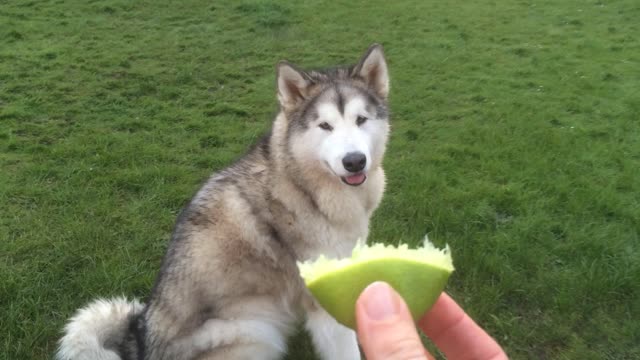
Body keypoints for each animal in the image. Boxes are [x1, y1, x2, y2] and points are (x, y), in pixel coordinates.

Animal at [58, 44, 390, 360]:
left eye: (361, 120)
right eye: (325, 126)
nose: (354, 161)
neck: (305, 185)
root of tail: (139, 342)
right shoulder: (322, 306)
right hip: (257, 331)